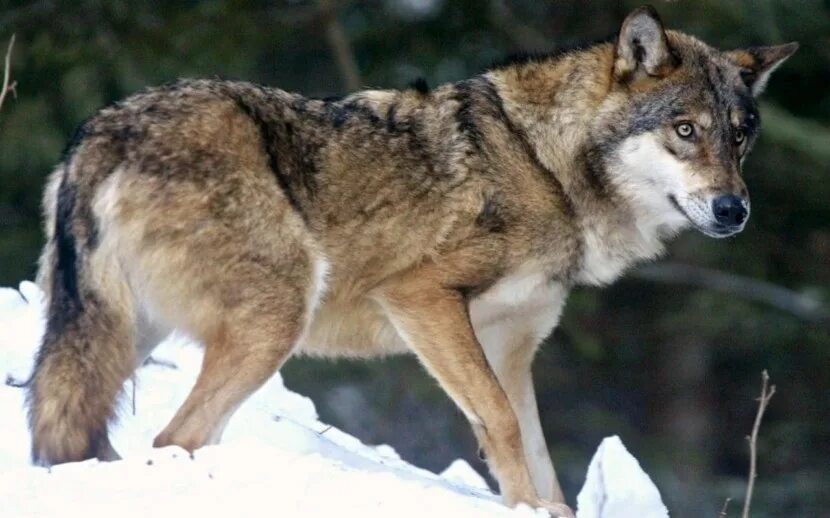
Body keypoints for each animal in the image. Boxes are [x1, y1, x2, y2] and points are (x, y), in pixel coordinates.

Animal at [24, 6, 792, 516]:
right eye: (684, 131)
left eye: (741, 137)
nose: (735, 210)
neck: (548, 166)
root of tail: (100, 131)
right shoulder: (421, 296)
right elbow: (504, 427)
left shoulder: (511, 347)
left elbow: (538, 452)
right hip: (276, 322)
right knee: (173, 435)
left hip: (125, 335)